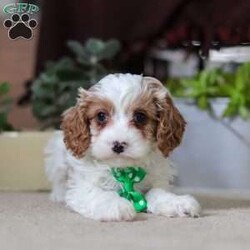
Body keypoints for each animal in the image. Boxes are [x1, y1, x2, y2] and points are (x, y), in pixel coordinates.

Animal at [45, 73, 201, 221]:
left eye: (140, 116)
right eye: (101, 116)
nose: (118, 145)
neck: (125, 171)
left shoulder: (158, 179)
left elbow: (157, 192)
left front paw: (177, 202)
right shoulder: (81, 187)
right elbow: (97, 193)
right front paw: (116, 205)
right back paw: (58, 195)